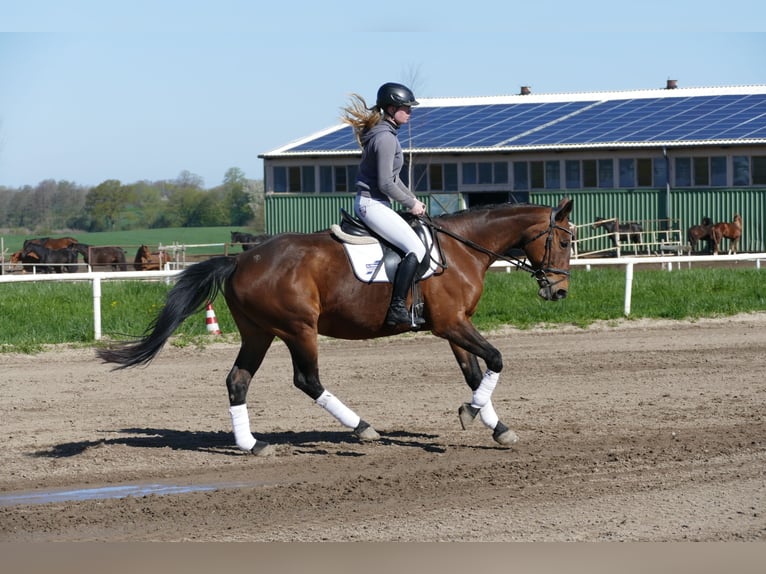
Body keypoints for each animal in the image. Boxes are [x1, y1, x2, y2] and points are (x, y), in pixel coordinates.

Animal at [97, 198, 574, 455]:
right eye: (565, 240)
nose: (559, 292)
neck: (461, 250)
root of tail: (241, 259)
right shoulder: (450, 324)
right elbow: (496, 358)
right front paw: (472, 412)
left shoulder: (456, 324)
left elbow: (475, 372)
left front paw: (496, 426)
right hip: (298, 329)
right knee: (306, 379)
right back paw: (362, 427)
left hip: (259, 332)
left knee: (238, 380)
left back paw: (252, 444)